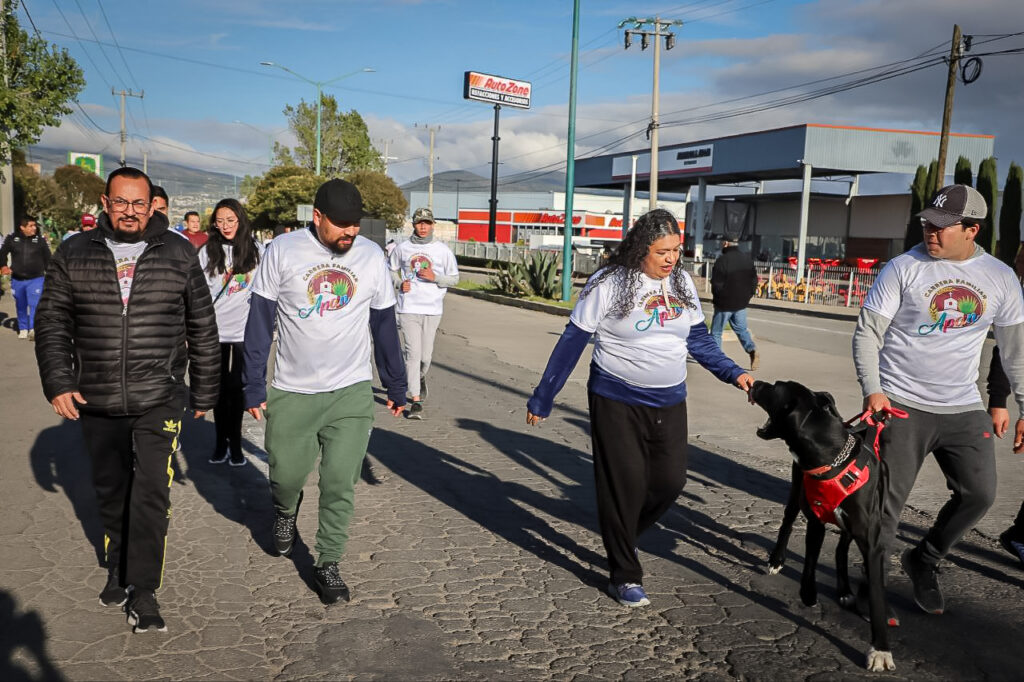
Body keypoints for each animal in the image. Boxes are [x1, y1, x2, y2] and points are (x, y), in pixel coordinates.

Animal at [745, 378, 897, 671]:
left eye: (775, 386)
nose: (755, 382)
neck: (832, 459)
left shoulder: (872, 543)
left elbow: (876, 595)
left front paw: (881, 649)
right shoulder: (815, 520)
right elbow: (809, 564)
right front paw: (807, 594)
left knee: (841, 548)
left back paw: (845, 590)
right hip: (796, 492)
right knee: (787, 522)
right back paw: (777, 559)